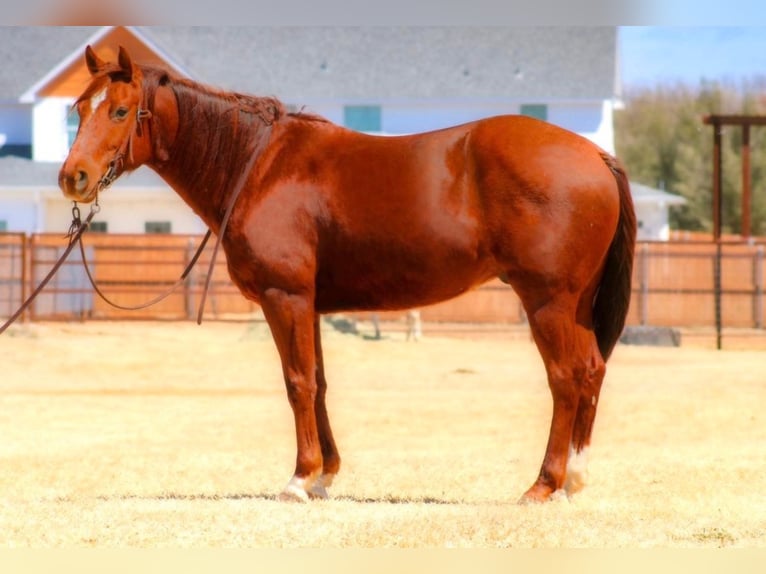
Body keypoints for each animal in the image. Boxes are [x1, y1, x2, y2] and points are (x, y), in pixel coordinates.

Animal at [58, 46, 636, 504]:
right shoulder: (308, 303)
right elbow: (318, 383)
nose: (73, 178)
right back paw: (574, 480)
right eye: (78, 109)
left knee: (566, 377)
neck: (258, 166)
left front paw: (299, 480)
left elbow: (297, 382)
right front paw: (324, 476)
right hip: (574, 304)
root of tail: (595, 153)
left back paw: (544, 484)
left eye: (120, 110)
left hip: (547, 301)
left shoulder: (284, 296)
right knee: (591, 371)